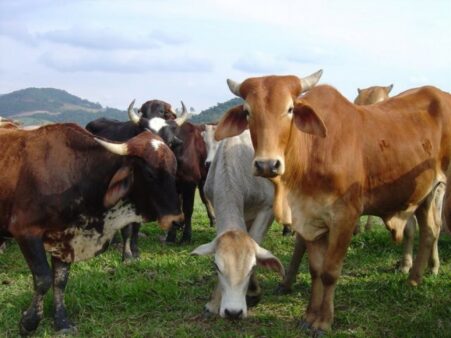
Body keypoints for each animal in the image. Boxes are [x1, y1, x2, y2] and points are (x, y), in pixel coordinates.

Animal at [214, 70, 450, 332]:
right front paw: (310, 316)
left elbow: (329, 272)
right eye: (248, 111)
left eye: (290, 109)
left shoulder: (345, 218)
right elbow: (316, 270)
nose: (267, 165)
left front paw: (323, 321)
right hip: (424, 193)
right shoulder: (309, 218)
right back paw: (414, 280)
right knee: (429, 230)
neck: (312, 152)